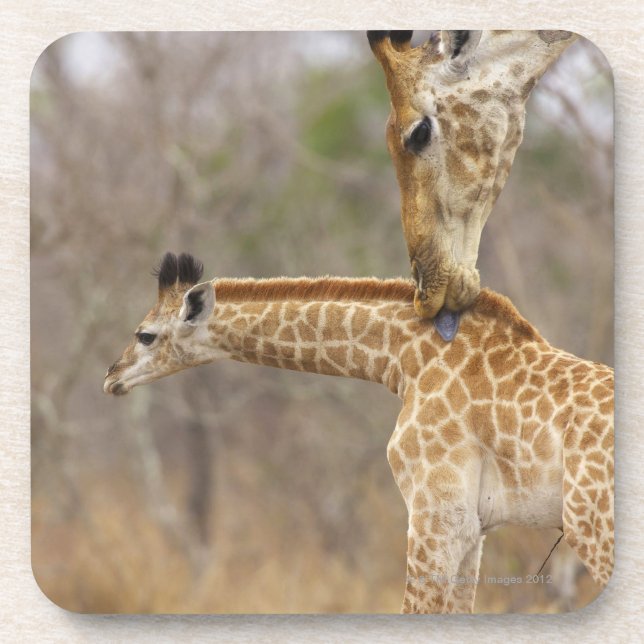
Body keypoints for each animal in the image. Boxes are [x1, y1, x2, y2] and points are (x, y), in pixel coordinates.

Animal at [104, 252, 614, 613]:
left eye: (145, 334)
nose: (112, 377)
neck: (404, 358)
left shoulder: (436, 513)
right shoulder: (473, 528)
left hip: (590, 524)